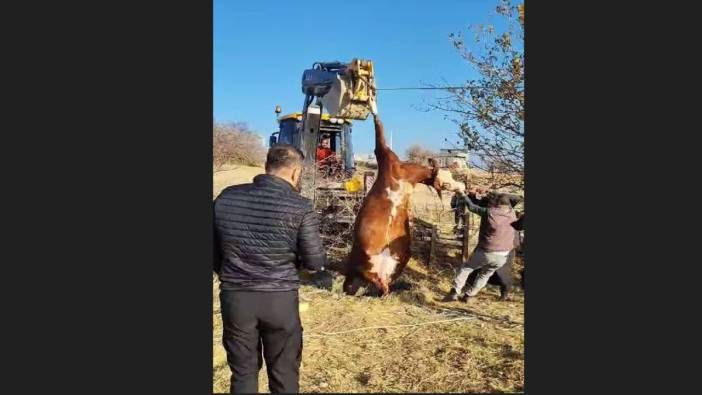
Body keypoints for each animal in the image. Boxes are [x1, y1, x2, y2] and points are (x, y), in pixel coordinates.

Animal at [344, 117, 464, 296]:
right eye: (446, 181)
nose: (462, 187)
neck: (406, 174)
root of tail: (380, 278)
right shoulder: (384, 154)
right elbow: (378, 128)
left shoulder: (384, 154)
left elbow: (379, 129)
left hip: (398, 259)